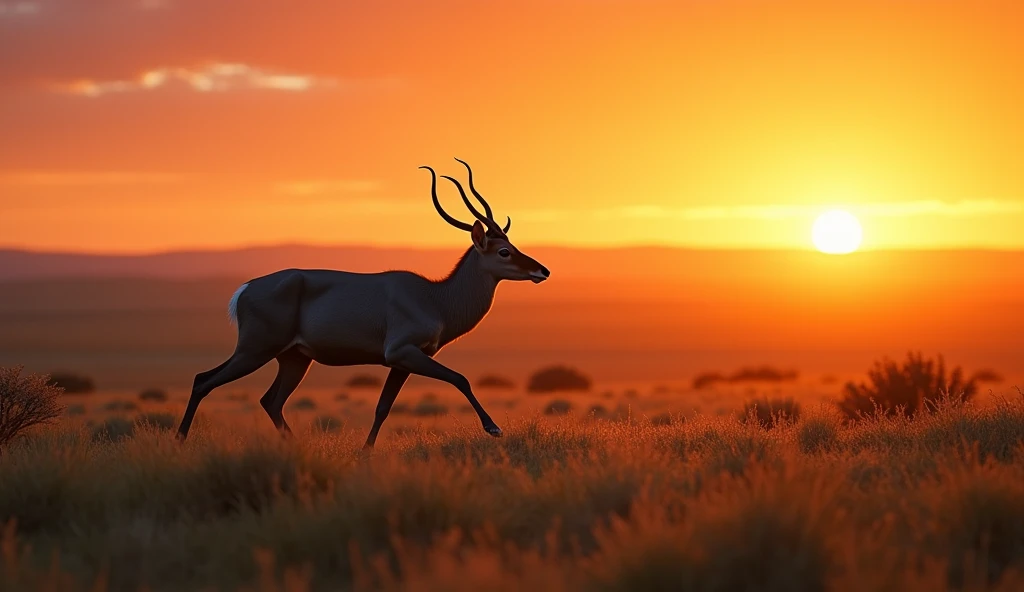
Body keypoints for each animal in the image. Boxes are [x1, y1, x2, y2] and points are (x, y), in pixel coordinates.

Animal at [174, 158, 552, 444]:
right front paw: (494, 428)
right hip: (256, 350)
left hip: (293, 358)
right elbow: (460, 378)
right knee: (204, 380)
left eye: (513, 245)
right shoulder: (402, 351)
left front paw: (365, 453)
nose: (542, 270)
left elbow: (382, 408)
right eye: (503, 251)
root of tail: (246, 289)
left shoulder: (403, 362)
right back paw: (179, 441)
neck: (435, 298)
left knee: (270, 400)